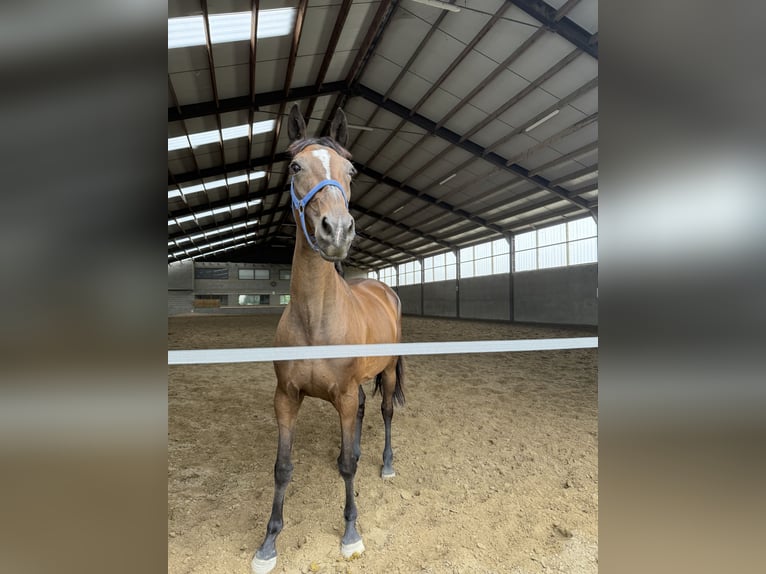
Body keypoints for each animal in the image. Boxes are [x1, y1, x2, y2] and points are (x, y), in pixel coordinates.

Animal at [251, 104, 406, 574]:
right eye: (296, 166)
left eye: (350, 170)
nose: (336, 231)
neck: (315, 320)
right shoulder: (286, 397)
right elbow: (282, 467)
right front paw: (269, 542)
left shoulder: (343, 394)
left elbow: (348, 465)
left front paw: (351, 534)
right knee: (362, 412)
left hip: (387, 373)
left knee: (385, 412)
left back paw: (387, 465)